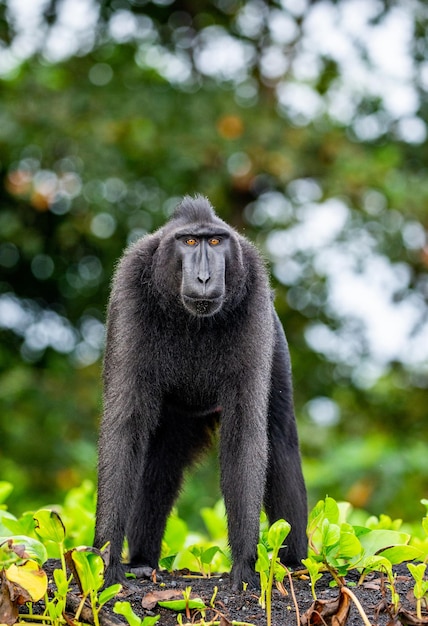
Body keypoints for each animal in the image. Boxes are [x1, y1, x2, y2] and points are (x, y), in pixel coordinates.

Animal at [94, 194, 308, 584]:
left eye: (216, 241)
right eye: (190, 242)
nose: (205, 277)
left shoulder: (254, 291)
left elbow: (246, 433)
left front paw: (244, 564)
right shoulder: (130, 284)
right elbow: (125, 426)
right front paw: (105, 561)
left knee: (280, 439)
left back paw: (295, 564)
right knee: (159, 459)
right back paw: (142, 561)